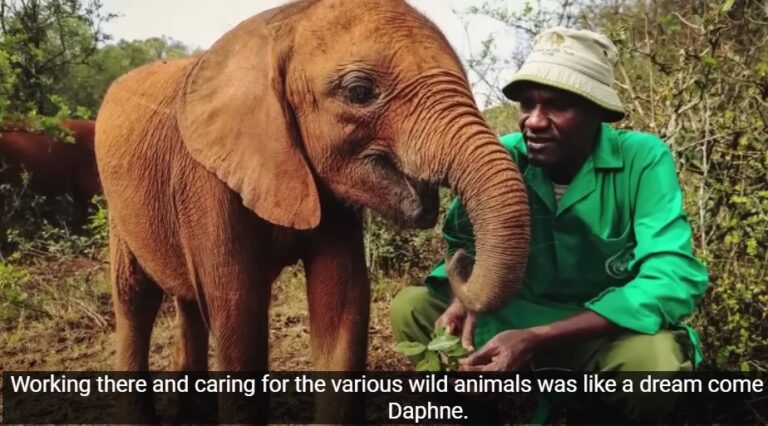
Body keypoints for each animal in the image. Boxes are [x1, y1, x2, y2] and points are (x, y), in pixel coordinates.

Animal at [95, 0, 530, 421]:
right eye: (359, 91)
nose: (460, 257)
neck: (279, 23)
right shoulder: (205, 180)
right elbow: (238, 311)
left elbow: (342, 303)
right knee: (135, 298)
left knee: (186, 301)